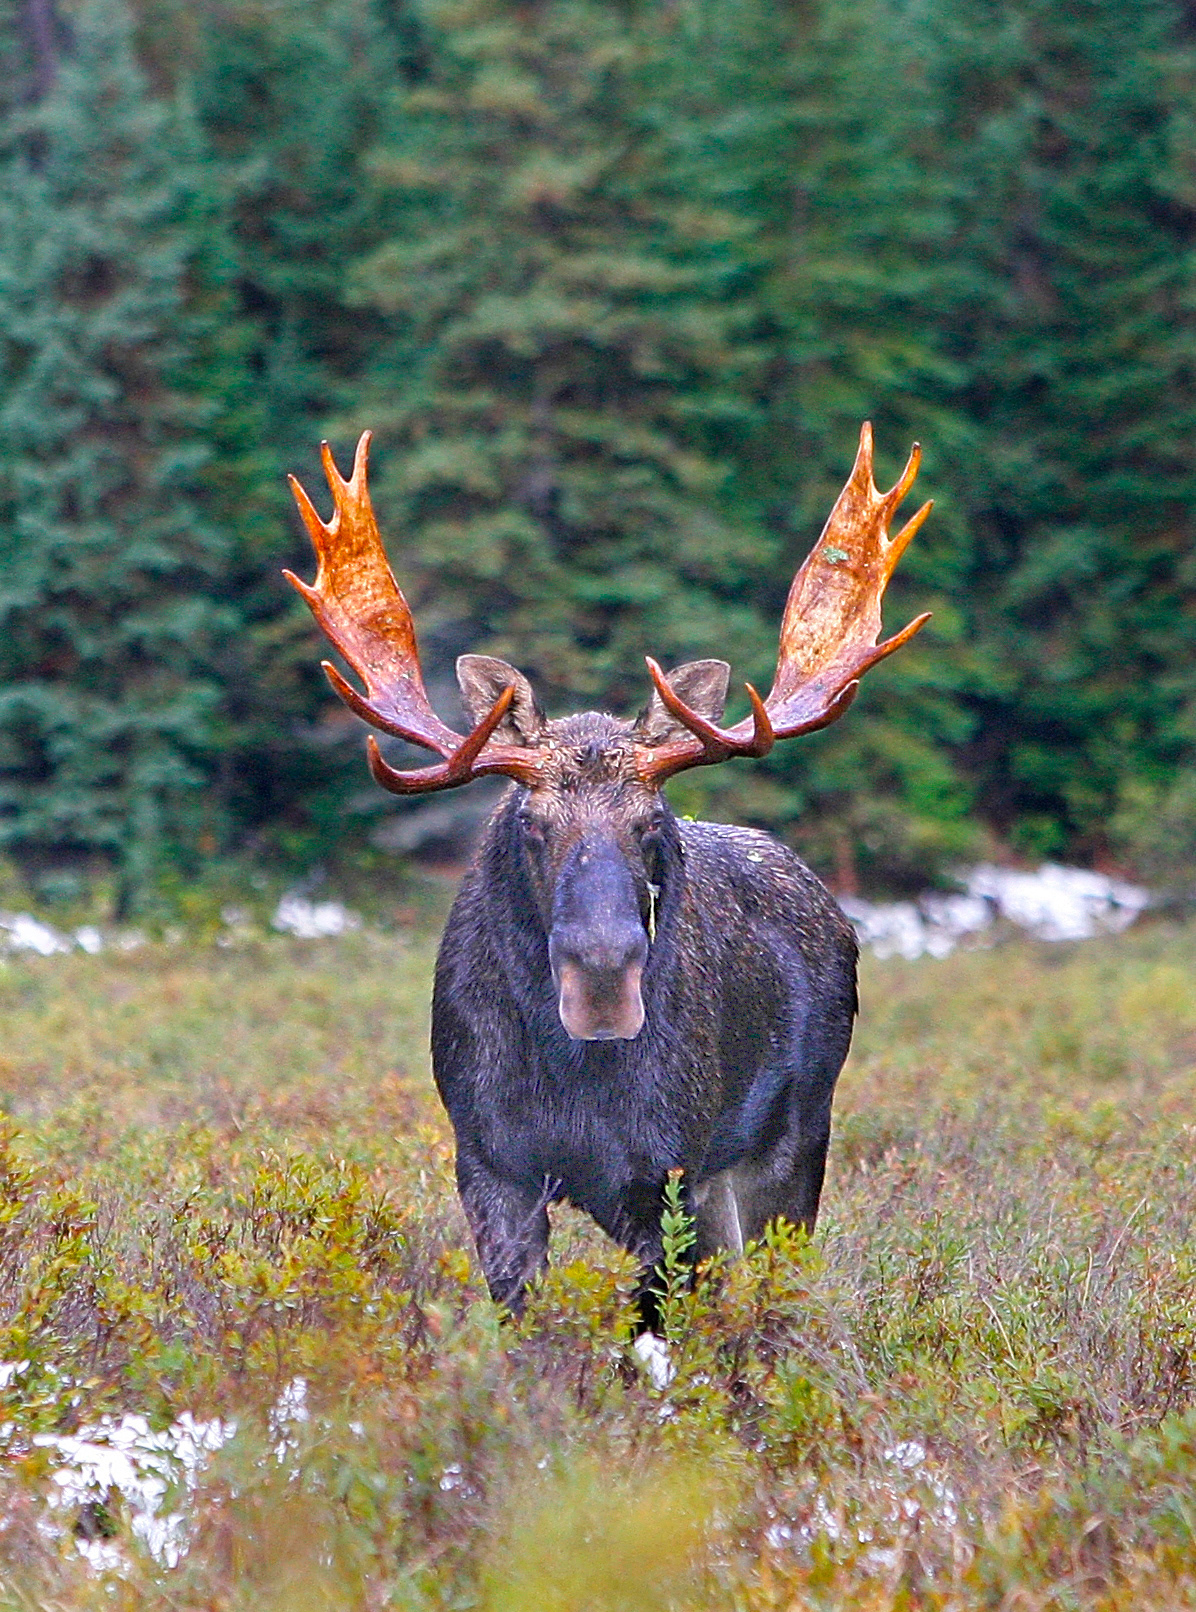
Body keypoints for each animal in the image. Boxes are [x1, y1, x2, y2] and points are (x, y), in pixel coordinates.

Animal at [285, 424, 931, 1340]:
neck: (573, 1080)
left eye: (651, 823)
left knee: (772, 1297)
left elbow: (650, 1333)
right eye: (532, 823)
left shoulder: (671, 1171)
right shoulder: (489, 1162)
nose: (601, 974)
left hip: (795, 1137)